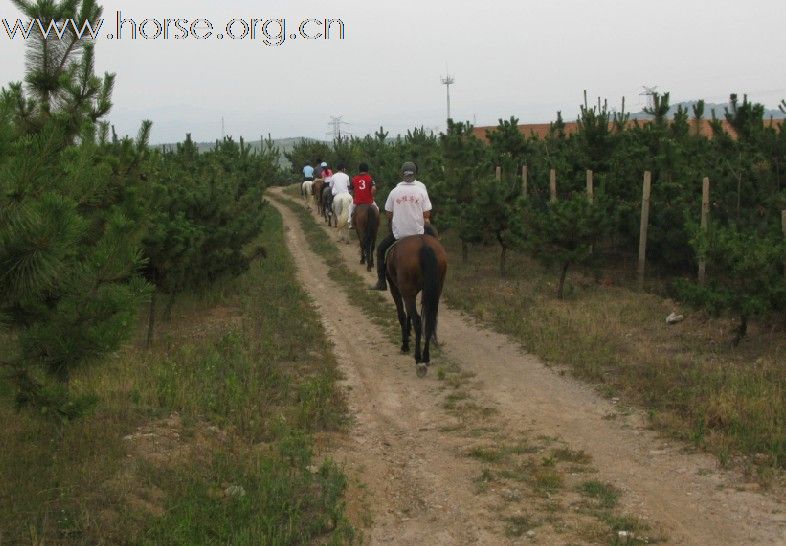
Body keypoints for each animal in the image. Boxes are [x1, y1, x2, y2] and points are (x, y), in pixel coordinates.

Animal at [386, 232, 448, 376]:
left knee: (418, 320)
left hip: (406, 290)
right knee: (429, 320)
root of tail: (424, 245)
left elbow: (402, 315)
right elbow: (409, 314)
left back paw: (419, 360)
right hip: (435, 291)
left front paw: (405, 345)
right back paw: (426, 357)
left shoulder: (395, 289)